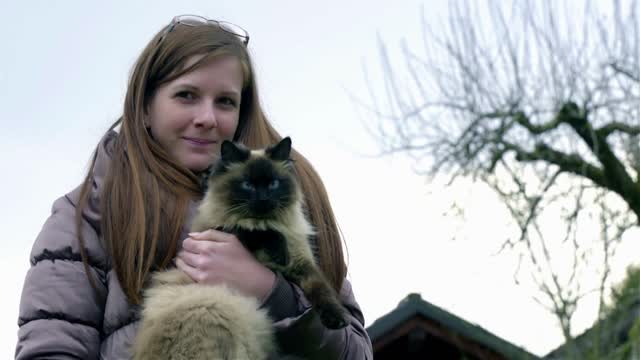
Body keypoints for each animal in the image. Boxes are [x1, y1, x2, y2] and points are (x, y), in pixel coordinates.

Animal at [131, 137, 348, 360]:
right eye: (247, 185)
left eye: (273, 184)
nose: (263, 199)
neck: (264, 220)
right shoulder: (224, 232)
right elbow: (256, 232)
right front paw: (280, 251)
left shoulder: (302, 266)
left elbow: (323, 291)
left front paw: (336, 319)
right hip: (214, 310)